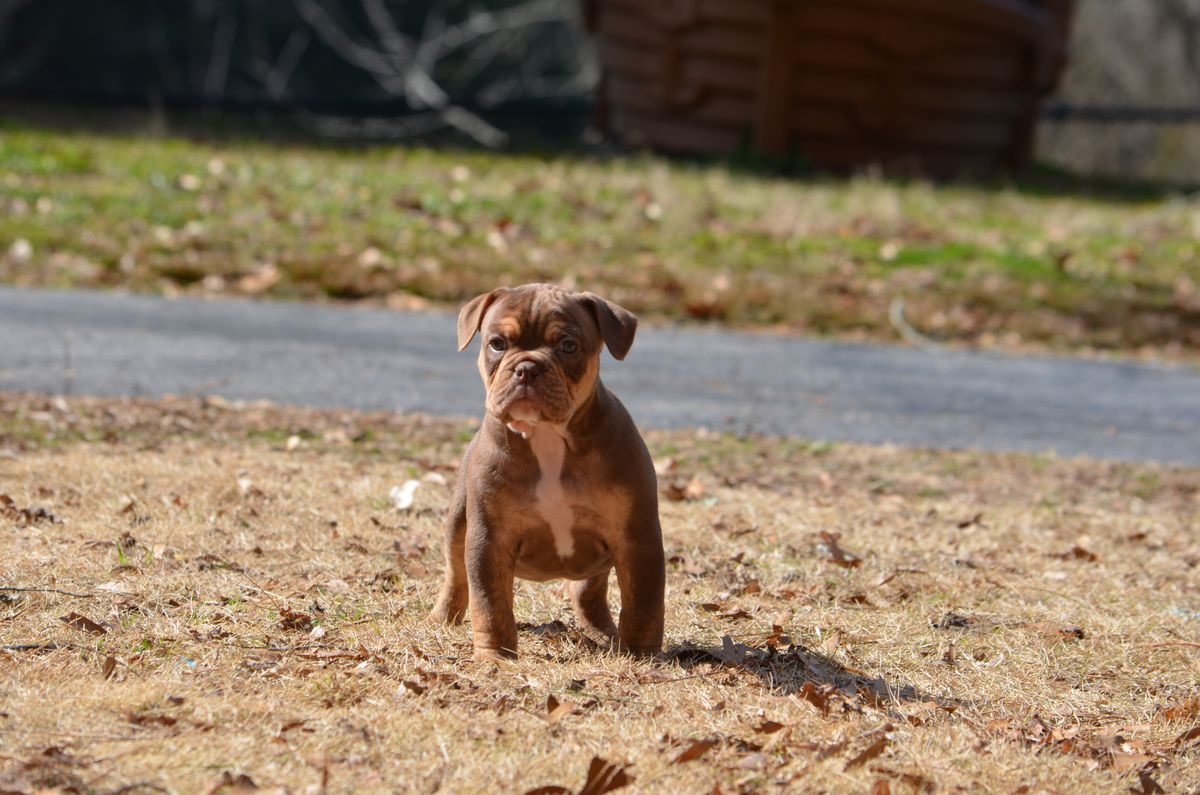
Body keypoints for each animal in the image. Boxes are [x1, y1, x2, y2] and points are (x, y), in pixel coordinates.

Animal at [432, 284, 672, 658]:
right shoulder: (488, 538)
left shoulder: (637, 536)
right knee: (456, 574)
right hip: (459, 520)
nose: (527, 368)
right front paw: (495, 656)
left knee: (588, 592)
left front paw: (640, 654)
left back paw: (604, 635)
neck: (546, 436)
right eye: (497, 343)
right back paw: (442, 618)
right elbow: (489, 601)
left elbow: (644, 601)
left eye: (568, 346)